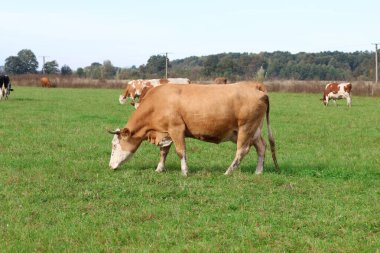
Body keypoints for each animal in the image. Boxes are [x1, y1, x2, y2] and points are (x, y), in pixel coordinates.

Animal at [110, 82, 280, 176]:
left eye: (114, 145)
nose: (110, 166)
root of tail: (255, 86)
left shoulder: (176, 129)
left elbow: (180, 151)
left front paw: (185, 172)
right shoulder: (166, 132)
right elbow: (164, 152)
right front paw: (159, 169)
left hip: (246, 128)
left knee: (242, 150)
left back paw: (228, 172)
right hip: (254, 131)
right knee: (261, 147)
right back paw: (258, 172)